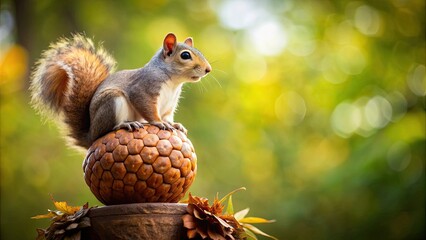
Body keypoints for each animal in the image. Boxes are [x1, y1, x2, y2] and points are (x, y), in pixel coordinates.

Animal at [29, 33, 212, 150]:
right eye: (185, 55)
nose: (208, 69)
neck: (173, 81)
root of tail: (91, 133)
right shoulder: (143, 89)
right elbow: (148, 109)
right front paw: (159, 123)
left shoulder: (170, 104)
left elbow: (168, 116)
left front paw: (175, 125)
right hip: (112, 101)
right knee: (107, 129)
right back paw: (125, 124)